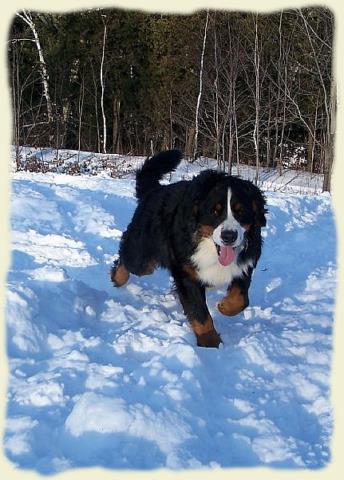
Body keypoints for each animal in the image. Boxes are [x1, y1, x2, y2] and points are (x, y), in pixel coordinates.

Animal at [111, 148, 268, 346]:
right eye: (215, 211)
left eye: (241, 212)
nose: (229, 236)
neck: (209, 248)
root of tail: (155, 190)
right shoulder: (187, 272)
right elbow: (200, 314)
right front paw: (210, 344)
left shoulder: (246, 263)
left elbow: (240, 298)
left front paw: (224, 306)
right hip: (142, 258)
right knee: (127, 258)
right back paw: (117, 277)